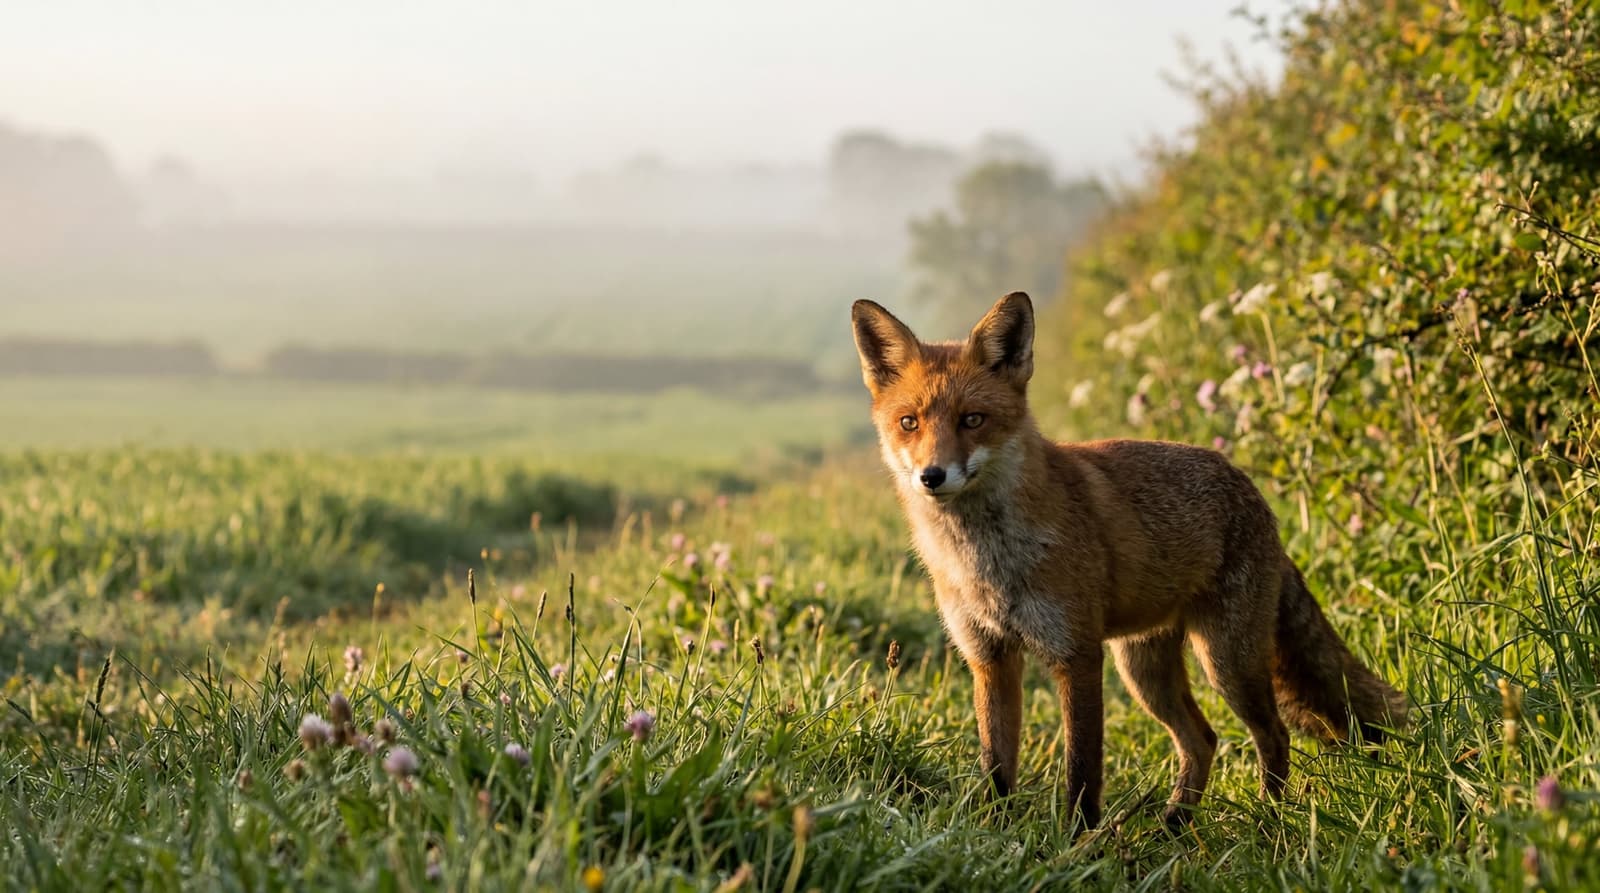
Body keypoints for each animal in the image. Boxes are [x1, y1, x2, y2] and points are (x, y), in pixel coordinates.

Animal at [851, 291, 1406, 830]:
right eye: (909, 423)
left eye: (972, 420)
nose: (931, 476)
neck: (989, 563)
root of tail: (1252, 491)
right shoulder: (990, 658)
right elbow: (996, 767)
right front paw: (996, 833)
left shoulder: (1076, 654)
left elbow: (1081, 771)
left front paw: (1079, 844)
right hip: (1145, 671)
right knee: (1203, 740)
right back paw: (1176, 827)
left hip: (1226, 663)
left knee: (1273, 735)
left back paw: (1269, 821)